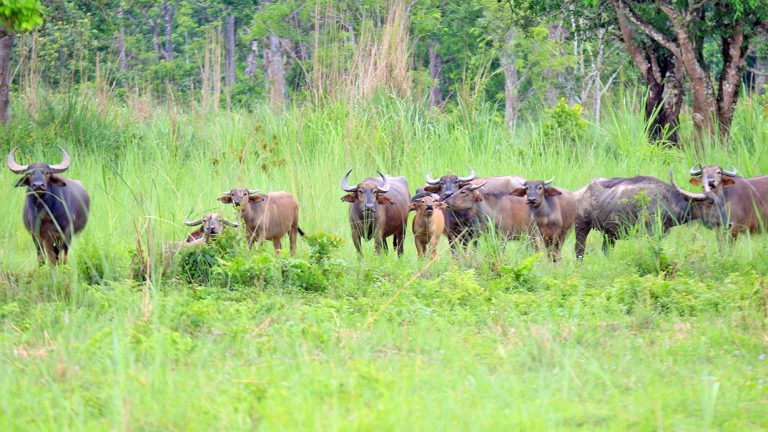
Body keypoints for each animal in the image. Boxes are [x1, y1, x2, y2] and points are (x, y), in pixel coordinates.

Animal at [572, 170, 728, 262]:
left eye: (721, 202)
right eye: (710, 202)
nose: (729, 223)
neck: (668, 200)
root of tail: (580, 192)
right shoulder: (651, 232)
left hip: (609, 234)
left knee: (606, 251)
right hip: (582, 227)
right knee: (579, 249)